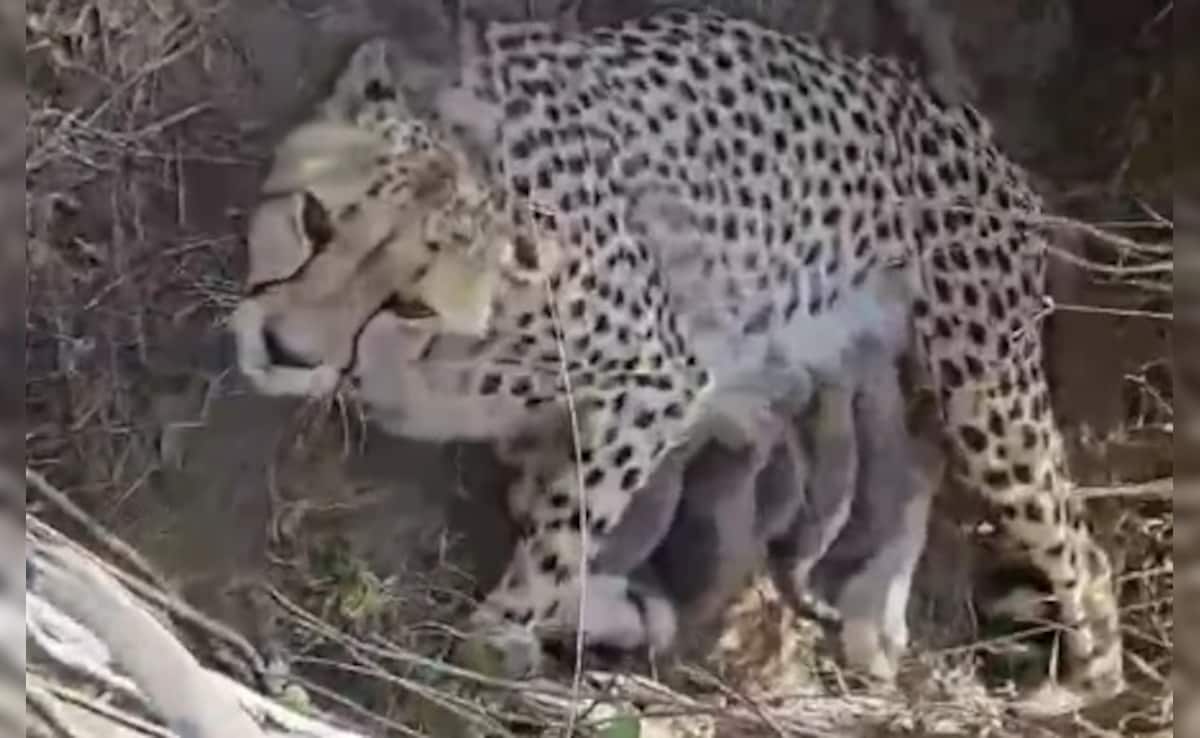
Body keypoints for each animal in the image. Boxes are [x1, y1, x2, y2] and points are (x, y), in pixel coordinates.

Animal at [229, 6, 1123, 705]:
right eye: (314, 220)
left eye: (409, 302)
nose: (283, 348)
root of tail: (955, 112)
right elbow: (551, 510)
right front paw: (599, 610)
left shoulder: (656, 378)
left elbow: (563, 533)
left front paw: (494, 637)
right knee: (916, 470)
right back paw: (875, 617)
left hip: (986, 386)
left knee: (1082, 552)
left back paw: (1081, 685)